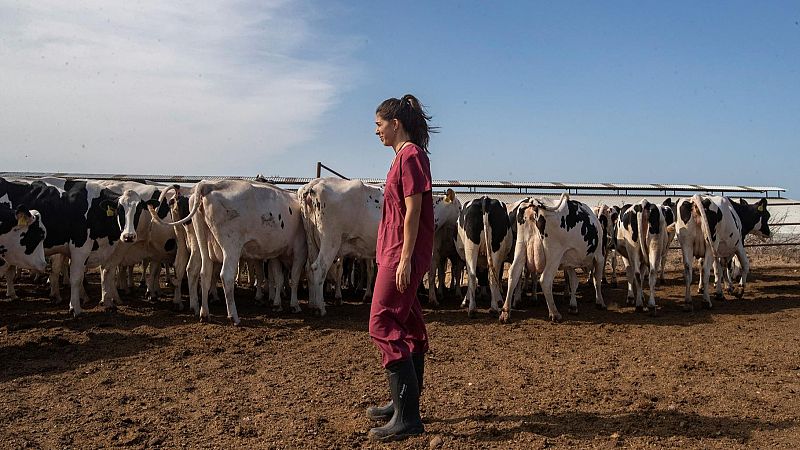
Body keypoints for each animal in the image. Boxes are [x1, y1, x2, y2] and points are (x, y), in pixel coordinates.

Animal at [296, 177, 384, 316]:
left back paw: (313, 304)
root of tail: (313, 184)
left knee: (309, 268)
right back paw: (320, 308)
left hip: (311, 241)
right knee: (319, 268)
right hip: (331, 240)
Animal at [500, 193, 608, 324]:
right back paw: (555, 313)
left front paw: (573, 306)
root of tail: (534, 202)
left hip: (521, 248)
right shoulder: (599, 257)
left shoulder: (569, 263)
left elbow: (574, 282)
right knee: (545, 280)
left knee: (513, 274)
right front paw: (600, 302)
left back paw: (505, 312)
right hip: (554, 255)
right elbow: (597, 280)